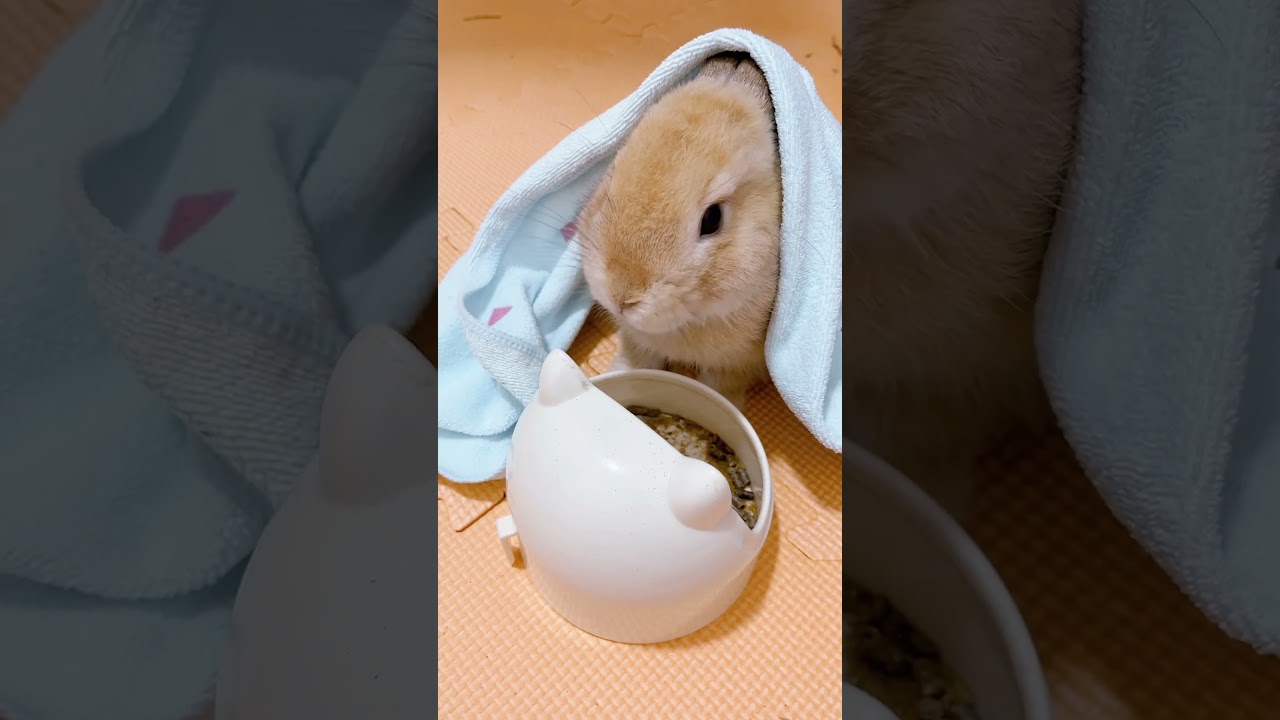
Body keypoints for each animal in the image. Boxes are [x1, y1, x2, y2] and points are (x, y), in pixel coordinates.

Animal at [575, 52, 783, 410]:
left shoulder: (736, 364)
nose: (622, 297)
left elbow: (720, 388)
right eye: (611, 177)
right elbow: (636, 362)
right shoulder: (636, 340)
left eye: (712, 219)